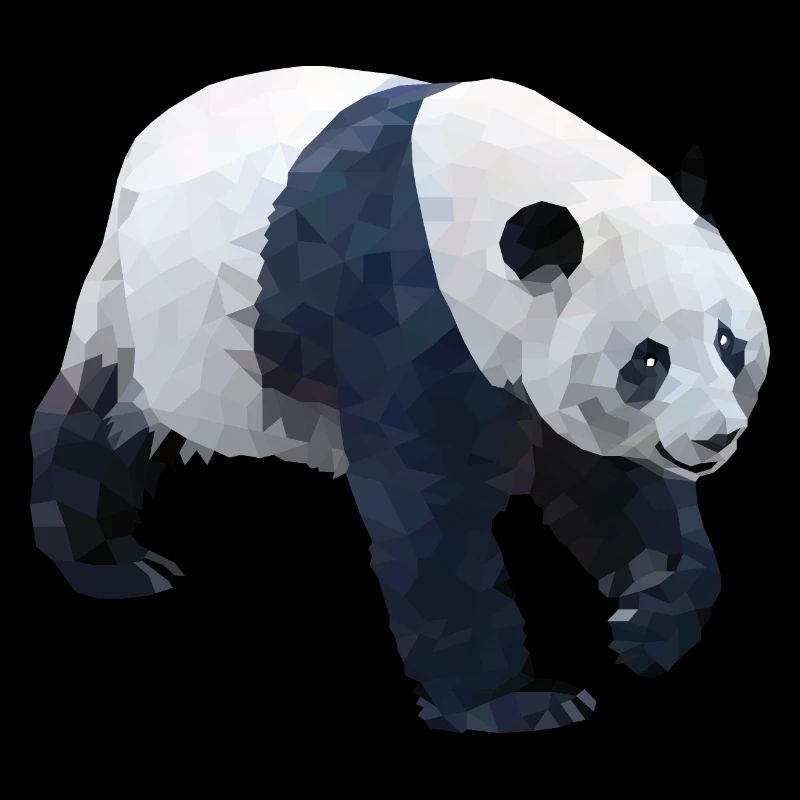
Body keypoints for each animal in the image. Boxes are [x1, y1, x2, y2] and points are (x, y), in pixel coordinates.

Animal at [29, 66, 769, 733]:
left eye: (729, 343)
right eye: (647, 358)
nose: (714, 439)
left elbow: (619, 491)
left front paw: (643, 633)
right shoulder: (403, 306)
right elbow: (432, 510)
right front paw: (517, 704)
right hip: (150, 312)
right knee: (103, 416)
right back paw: (114, 564)